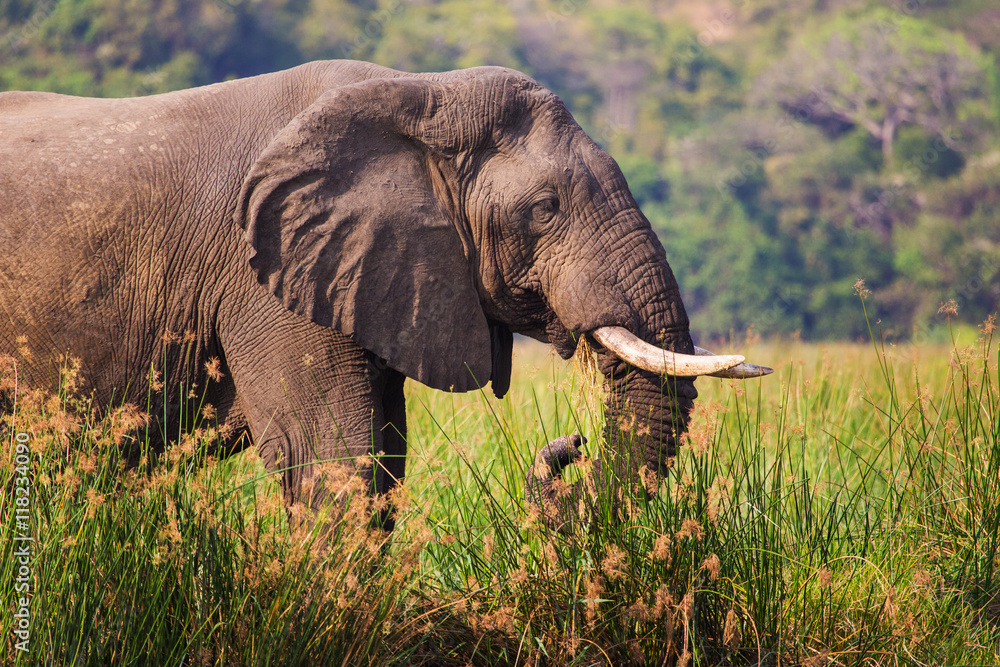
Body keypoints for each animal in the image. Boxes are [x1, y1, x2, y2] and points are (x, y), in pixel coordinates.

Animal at [0, 60, 769, 528]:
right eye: (545, 209)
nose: (569, 444)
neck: (419, 95)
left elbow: (382, 460)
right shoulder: (264, 279)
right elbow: (333, 457)